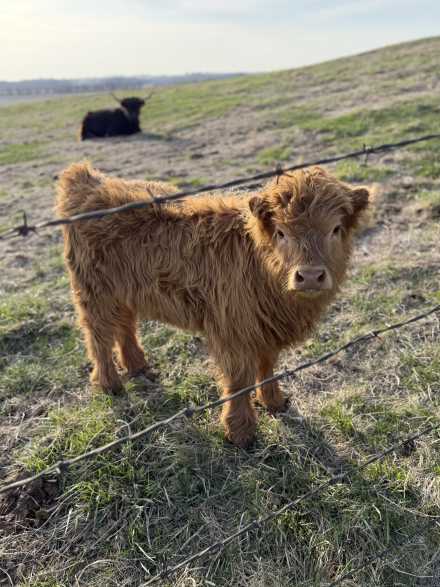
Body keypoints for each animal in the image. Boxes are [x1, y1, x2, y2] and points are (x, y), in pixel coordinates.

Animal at [56, 163, 370, 447]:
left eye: (335, 229)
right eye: (281, 232)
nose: (310, 276)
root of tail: (86, 179)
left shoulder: (264, 327)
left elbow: (267, 365)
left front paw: (274, 402)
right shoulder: (233, 330)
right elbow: (239, 380)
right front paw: (240, 432)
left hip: (125, 291)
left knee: (125, 325)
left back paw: (137, 366)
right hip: (94, 292)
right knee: (98, 336)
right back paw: (110, 384)